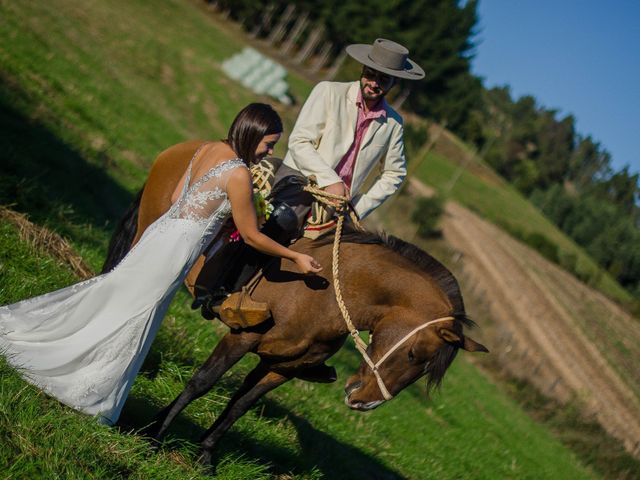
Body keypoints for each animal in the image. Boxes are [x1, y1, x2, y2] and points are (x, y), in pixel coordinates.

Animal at [104, 141, 490, 464]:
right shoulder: (242, 337)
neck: (326, 293)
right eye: (413, 355)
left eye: (423, 369)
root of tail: (186, 148)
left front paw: (206, 456)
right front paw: (155, 434)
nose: (364, 402)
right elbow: (203, 383)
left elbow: (241, 404)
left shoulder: (284, 366)